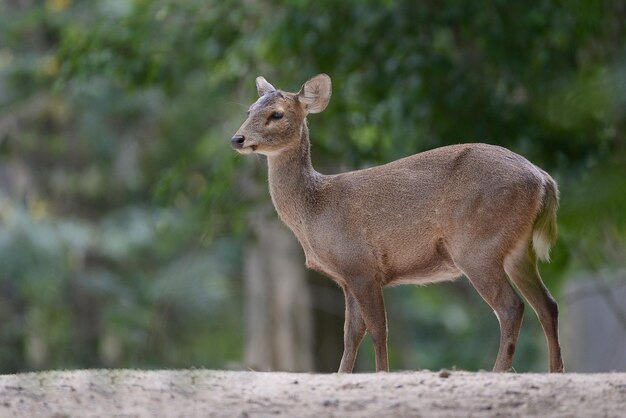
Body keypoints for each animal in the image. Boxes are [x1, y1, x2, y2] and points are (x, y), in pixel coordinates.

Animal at [229, 73, 560, 374]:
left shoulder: (361, 265)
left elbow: (377, 330)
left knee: (511, 307)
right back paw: (556, 370)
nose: (237, 139)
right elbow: (351, 335)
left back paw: (499, 371)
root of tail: (544, 180)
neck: (314, 212)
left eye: (277, 114)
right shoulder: (346, 277)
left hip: (478, 245)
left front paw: (381, 374)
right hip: (518, 250)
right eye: (249, 110)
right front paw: (343, 375)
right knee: (547, 304)